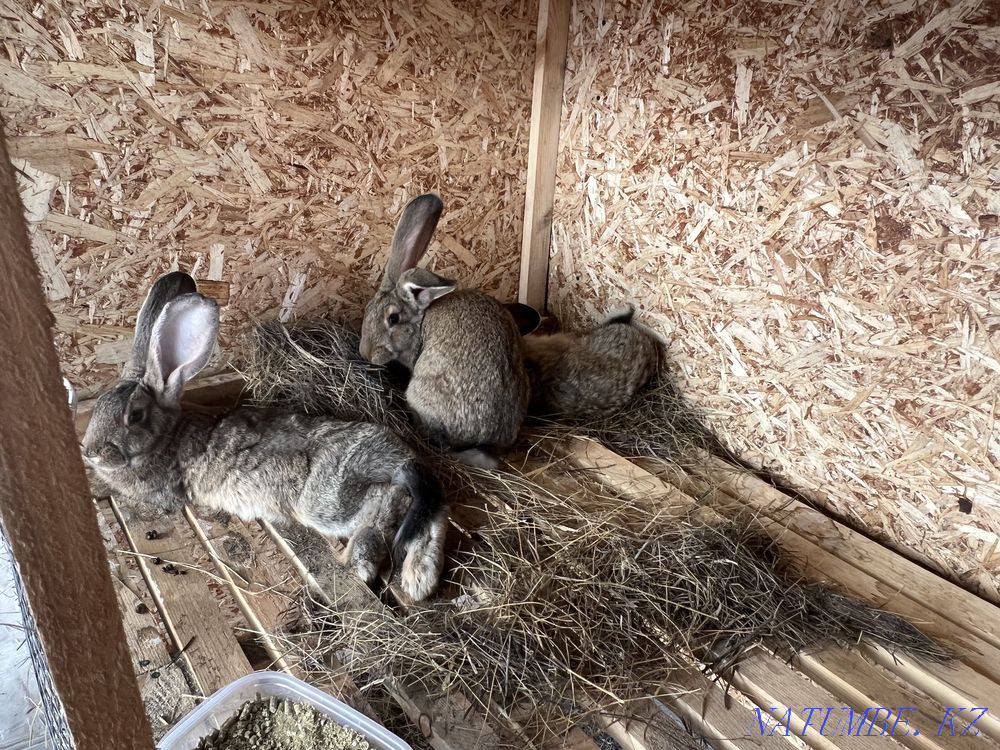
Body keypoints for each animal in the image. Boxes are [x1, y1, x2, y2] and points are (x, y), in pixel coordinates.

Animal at [82, 272, 447, 601]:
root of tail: (400, 458)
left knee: (388, 500)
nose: (89, 451)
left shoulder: (162, 494)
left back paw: (361, 562)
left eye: (134, 416)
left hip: (326, 500)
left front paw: (95, 485)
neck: (166, 437)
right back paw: (419, 579)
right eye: (98, 406)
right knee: (431, 514)